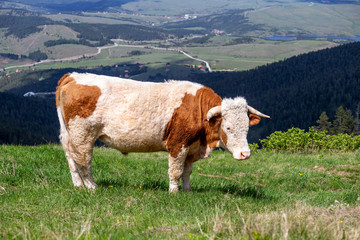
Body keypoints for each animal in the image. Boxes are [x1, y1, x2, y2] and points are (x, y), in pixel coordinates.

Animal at [56, 72, 270, 192]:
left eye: (247, 127)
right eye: (228, 127)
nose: (245, 154)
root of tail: (73, 76)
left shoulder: (191, 147)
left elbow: (187, 171)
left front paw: (188, 191)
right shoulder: (178, 144)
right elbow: (176, 170)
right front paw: (174, 192)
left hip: (68, 135)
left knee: (71, 158)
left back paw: (78, 186)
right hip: (83, 135)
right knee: (83, 161)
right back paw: (92, 187)